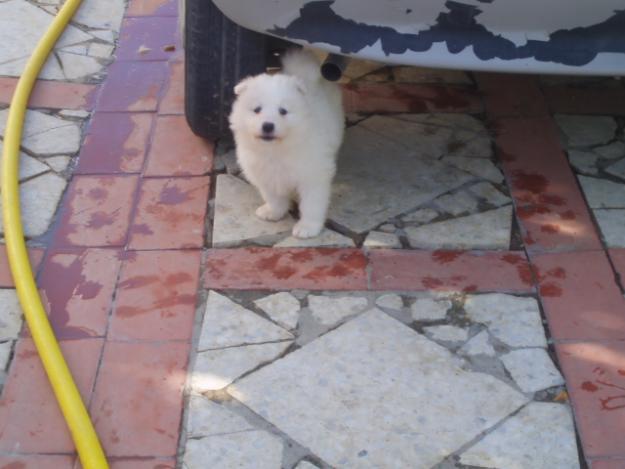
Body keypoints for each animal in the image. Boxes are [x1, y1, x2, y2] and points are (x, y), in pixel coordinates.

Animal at [228, 48, 344, 238]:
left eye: (283, 111)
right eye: (257, 109)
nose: (268, 125)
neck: (276, 150)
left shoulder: (313, 176)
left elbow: (312, 204)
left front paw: (307, 227)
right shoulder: (265, 175)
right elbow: (274, 198)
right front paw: (273, 212)